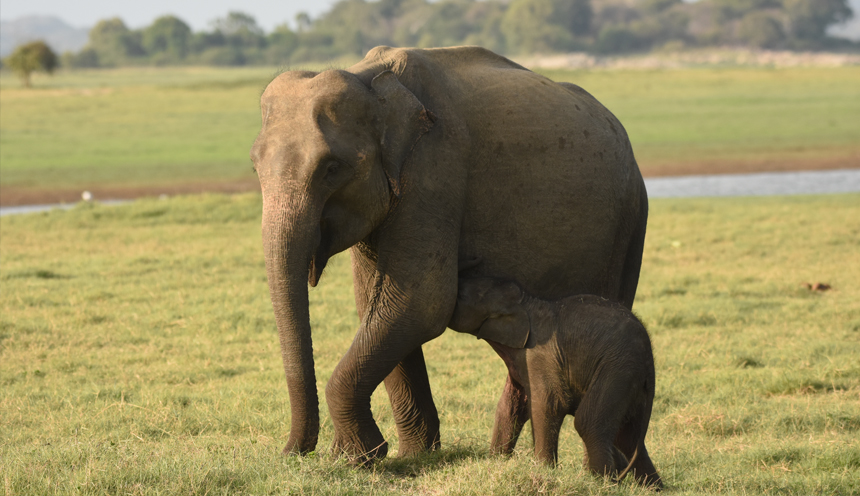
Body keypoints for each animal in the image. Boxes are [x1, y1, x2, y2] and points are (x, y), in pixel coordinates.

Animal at [249, 45, 644, 462]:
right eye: (254, 166)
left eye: (331, 168)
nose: (292, 452)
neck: (368, 78)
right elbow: (376, 302)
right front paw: (412, 456)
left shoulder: (435, 169)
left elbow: (418, 304)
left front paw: (361, 456)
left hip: (630, 222)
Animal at [446, 278, 660, 490]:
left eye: (460, 295)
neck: (525, 302)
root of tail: (650, 359)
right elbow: (511, 406)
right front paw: (496, 463)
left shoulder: (539, 355)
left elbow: (548, 405)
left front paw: (543, 471)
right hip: (630, 380)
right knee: (628, 436)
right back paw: (652, 487)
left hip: (618, 368)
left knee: (588, 423)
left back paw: (600, 483)